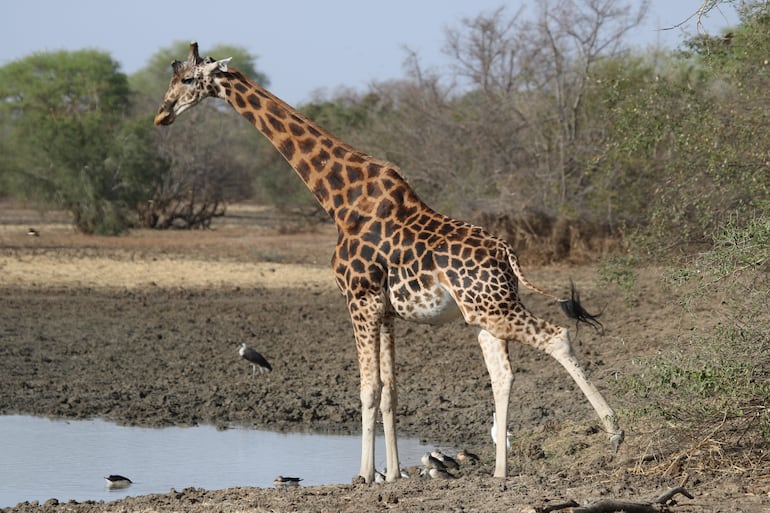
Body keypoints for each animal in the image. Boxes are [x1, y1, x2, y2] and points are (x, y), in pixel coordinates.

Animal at [153, 42, 620, 482]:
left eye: (188, 79)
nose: (162, 115)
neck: (339, 201)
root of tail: (508, 253)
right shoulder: (387, 310)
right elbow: (392, 388)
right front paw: (392, 474)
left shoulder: (358, 299)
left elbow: (368, 388)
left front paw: (364, 475)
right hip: (485, 312)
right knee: (503, 372)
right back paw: (501, 471)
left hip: (494, 308)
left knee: (558, 336)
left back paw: (614, 431)